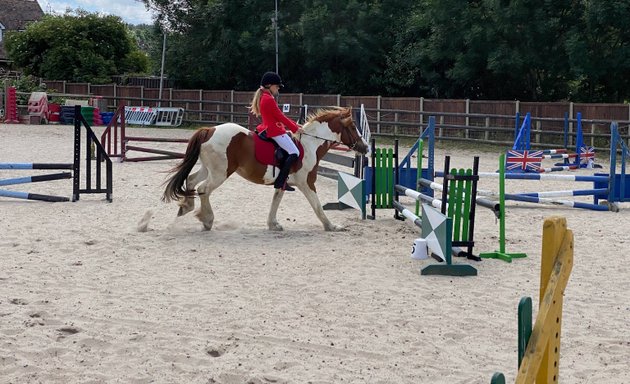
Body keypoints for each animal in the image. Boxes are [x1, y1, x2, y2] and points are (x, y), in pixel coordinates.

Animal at [162, 106, 370, 231]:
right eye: (353, 127)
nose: (366, 147)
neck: (310, 144)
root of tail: (209, 130)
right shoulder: (307, 182)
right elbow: (317, 206)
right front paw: (331, 226)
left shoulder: (283, 181)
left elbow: (275, 201)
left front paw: (273, 224)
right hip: (221, 172)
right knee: (203, 189)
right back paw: (207, 220)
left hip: (209, 168)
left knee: (191, 181)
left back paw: (186, 207)